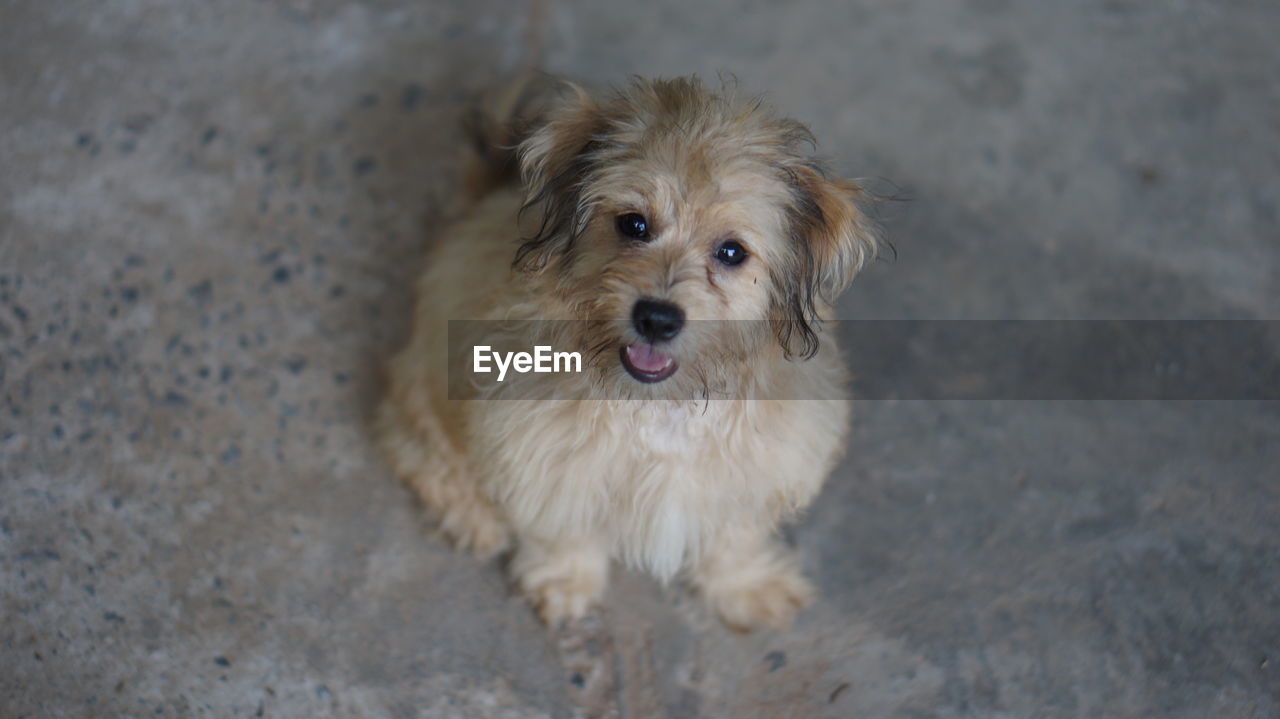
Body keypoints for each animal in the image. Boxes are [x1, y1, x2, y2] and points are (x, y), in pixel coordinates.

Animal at [376, 74, 880, 626]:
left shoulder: (755, 474)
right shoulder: (546, 458)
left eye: (732, 252)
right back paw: (473, 517)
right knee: (425, 457)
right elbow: (563, 529)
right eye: (633, 224)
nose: (657, 318)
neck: (661, 409)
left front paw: (748, 587)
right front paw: (566, 581)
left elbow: (732, 539)